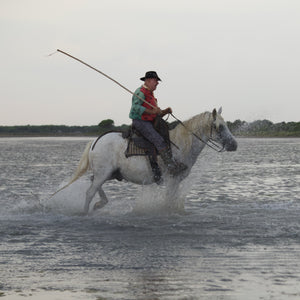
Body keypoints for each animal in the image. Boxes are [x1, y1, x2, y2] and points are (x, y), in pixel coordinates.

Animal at [56, 108, 237, 213]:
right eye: (219, 126)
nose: (234, 144)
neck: (180, 144)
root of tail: (95, 141)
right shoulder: (171, 179)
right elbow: (169, 200)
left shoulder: (177, 180)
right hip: (103, 173)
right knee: (90, 192)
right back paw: (86, 211)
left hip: (108, 174)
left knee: (92, 183)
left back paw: (99, 204)